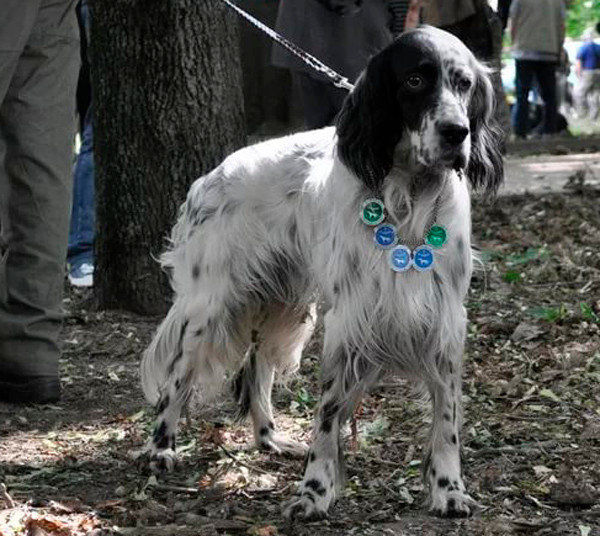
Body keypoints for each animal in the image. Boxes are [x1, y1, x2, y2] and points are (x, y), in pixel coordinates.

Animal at [141, 26, 502, 520]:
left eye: (464, 83)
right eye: (414, 80)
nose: (457, 132)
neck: (409, 196)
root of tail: (210, 177)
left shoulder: (445, 318)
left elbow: (446, 419)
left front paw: (449, 488)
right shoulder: (349, 320)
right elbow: (328, 415)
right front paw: (314, 491)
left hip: (282, 302)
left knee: (256, 370)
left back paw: (270, 439)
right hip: (212, 305)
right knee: (177, 377)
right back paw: (161, 447)